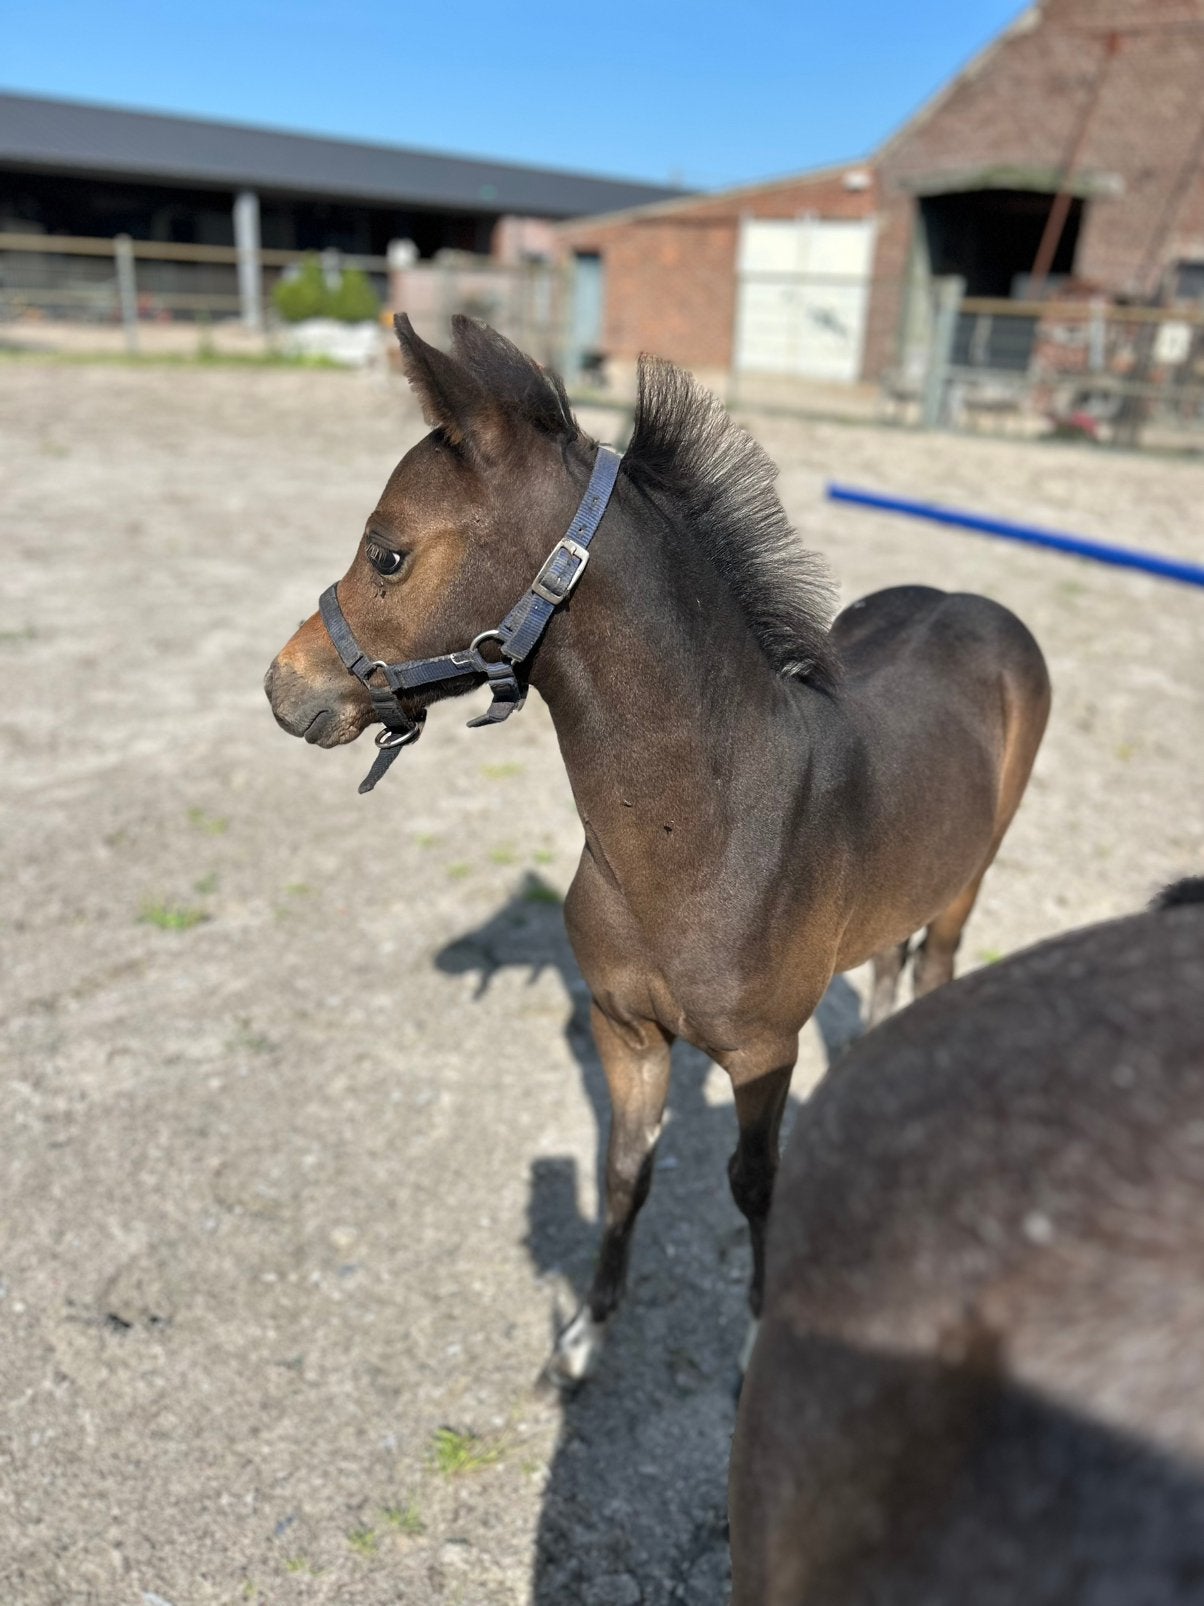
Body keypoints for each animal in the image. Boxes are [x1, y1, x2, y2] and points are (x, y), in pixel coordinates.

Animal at [265, 314, 1051, 1382]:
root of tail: (980, 601)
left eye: (387, 555)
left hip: (973, 874)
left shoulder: (762, 1053)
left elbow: (755, 1180)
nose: (284, 687)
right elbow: (623, 1168)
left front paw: (758, 1338)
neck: (701, 841)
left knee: (935, 961)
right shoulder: (625, 1027)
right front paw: (585, 1335)